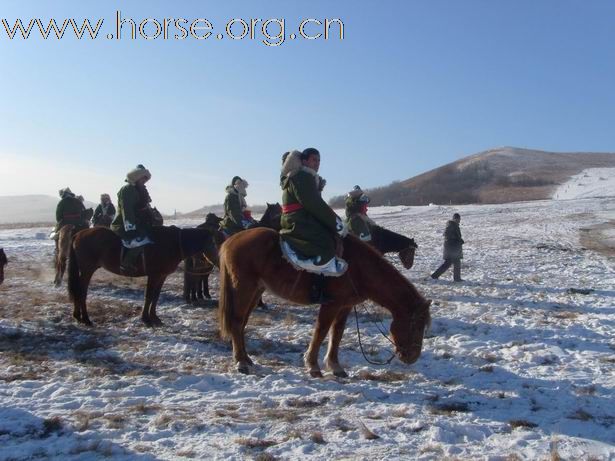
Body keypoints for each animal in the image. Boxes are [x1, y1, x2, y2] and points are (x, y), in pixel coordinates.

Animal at [68, 225, 218, 326]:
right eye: (216, 244)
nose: (219, 262)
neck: (173, 243)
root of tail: (78, 234)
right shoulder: (154, 275)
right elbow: (149, 296)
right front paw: (146, 319)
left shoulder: (162, 276)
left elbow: (156, 296)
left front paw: (155, 318)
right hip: (87, 269)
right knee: (81, 291)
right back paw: (85, 318)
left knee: (78, 290)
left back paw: (78, 316)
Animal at [219, 227, 430, 378]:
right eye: (416, 325)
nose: (412, 357)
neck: (358, 267)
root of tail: (230, 241)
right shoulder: (331, 304)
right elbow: (321, 331)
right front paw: (313, 366)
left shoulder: (345, 306)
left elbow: (337, 334)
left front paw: (335, 366)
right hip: (244, 288)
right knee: (237, 322)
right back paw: (241, 363)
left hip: (256, 291)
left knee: (242, 323)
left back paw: (246, 359)